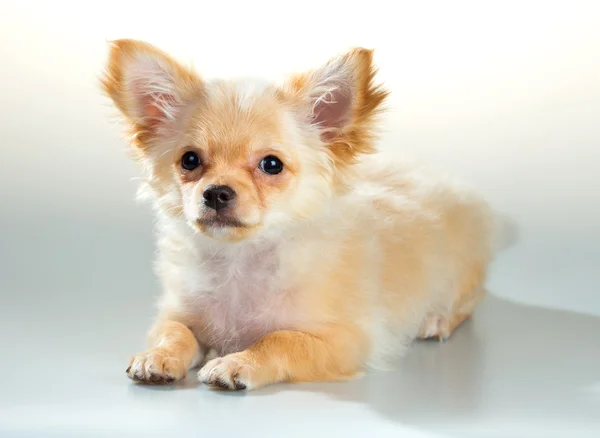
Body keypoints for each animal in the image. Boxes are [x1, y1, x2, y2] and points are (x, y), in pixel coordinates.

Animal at [101, 40, 512, 390]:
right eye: (189, 160)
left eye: (271, 165)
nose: (216, 192)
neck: (240, 260)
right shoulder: (177, 312)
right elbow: (176, 332)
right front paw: (158, 356)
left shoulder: (346, 341)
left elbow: (279, 339)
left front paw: (236, 363)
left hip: (459, 270)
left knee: (469, 300)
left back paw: (436, 319)